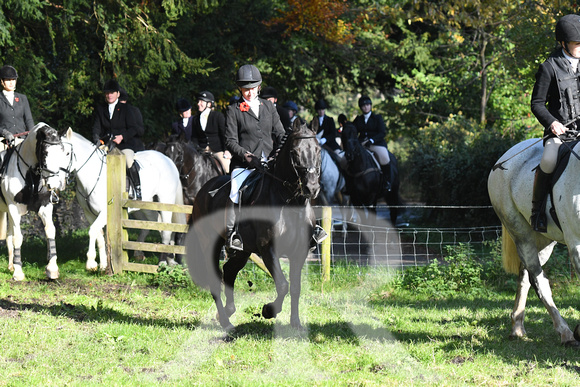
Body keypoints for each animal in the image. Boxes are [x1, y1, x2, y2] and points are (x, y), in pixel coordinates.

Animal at [0, 123, 69, 280]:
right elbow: (18, 237)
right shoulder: (13, 207)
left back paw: (11, 266)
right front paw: (18, 273)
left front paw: (52, 269)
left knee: (8, 235)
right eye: (45, 153)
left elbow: (50, 231)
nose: (55, 184)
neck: (31, 175)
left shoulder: (45, 205)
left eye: (62, 152)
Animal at [61, 129, 185, 272]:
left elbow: (93, 231)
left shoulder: (105, 211)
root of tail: (168, 159)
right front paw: (103, 265)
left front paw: (91, 263)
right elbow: (99, 236)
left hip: (165, 201)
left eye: (67, 153)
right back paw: (161, 257)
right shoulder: (89, 214)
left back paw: (163, 262)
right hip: (144, 206)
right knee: (154, 223)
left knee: (166, 229)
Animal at [186, 120, 322, 330]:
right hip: (210, 243)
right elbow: (283, 285)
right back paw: (225, 322)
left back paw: (227, 312)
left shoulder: (299, 251)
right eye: (295, 152)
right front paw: (269, 310)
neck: (291, 203)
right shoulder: (268, 249)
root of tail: (203, 190)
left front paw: (296, 324)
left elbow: (295, 287)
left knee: (229, 271)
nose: (312, 188)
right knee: (215, 279)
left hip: (244, 250)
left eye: (318, 150)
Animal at [488, 138, 580, 348]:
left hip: (545, 241)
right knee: (538, 280)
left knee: (525, 275)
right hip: (521, 234)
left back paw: (517, 327)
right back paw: (566, 333)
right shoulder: (576, 243)